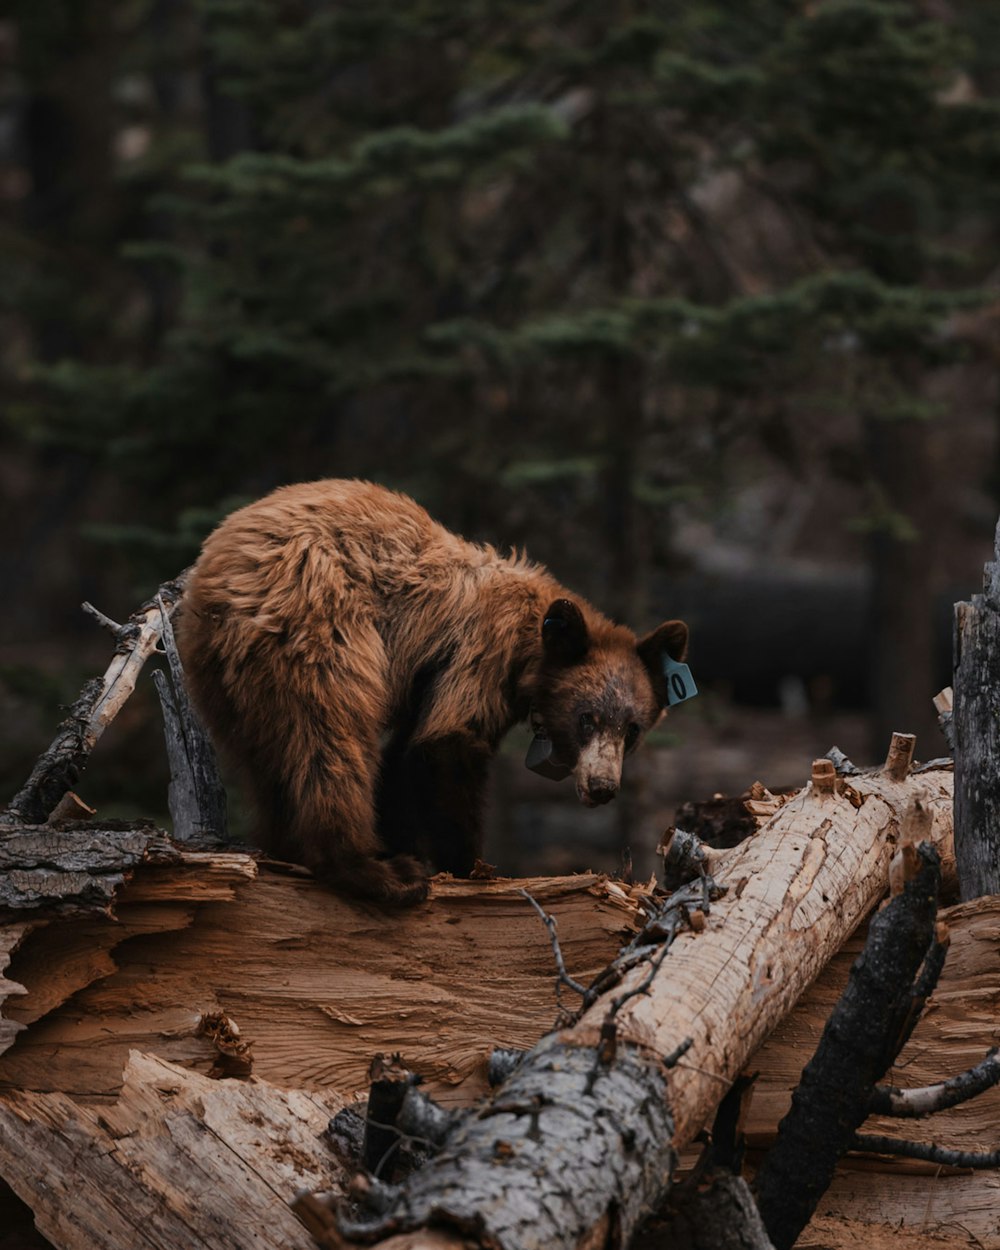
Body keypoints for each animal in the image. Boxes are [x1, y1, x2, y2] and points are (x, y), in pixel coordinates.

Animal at [176, 475, 690, 900]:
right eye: (587, 719)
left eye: (632, 729)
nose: (602, 787)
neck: (530, 649)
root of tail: (218, 583)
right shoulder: (480, 653)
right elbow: (448, 744)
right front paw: (470, 865)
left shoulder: (431, 682)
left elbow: (406, 755)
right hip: (318, 626)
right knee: (331, 736)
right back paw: (376, 871)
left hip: (222, 683)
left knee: (269, 764)